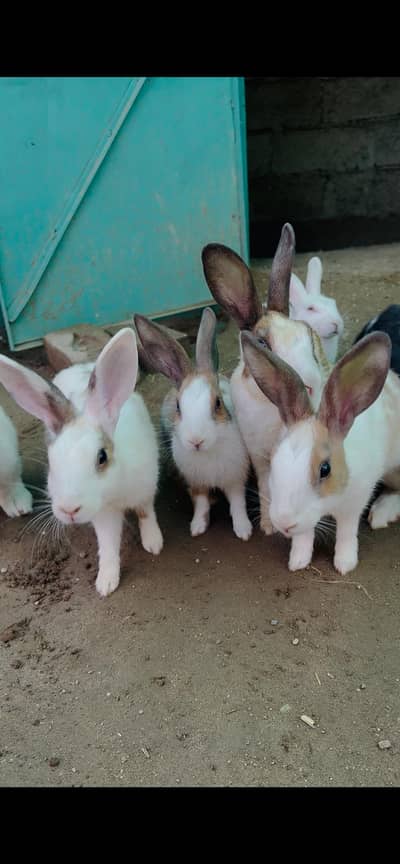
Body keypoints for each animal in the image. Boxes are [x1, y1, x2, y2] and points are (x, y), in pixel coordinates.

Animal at [0, 328, 163, 597]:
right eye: (51, 462)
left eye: (102, 457)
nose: (69, 510)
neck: (115, 489)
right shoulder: (104, 515)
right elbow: (108, 545)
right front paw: (106, 582)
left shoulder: (145, 490)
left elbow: (146, 513)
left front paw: (154, 542)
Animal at [134, 306, 252, 541]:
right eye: (179, 407)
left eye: (218, 403)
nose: (196, 441)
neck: (207, 453)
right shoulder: (196, 482)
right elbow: (200, 503)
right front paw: (197, 527)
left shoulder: (235, 479)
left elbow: (237, 504)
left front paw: (244, 530)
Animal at [201, 223, 331, 537]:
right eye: (262, 343)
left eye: (309, 334)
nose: (311, 383)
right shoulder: (259, 455)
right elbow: (265, 484)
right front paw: (268, 525)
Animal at [240, 327, 400, 575]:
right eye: (274, 462)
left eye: (325, 469)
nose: (284, 523)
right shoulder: (305, 522)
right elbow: (303, 536)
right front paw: (298, 561)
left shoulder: (354, 504)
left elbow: (346, 533)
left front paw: (345, 564)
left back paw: (382, 513)